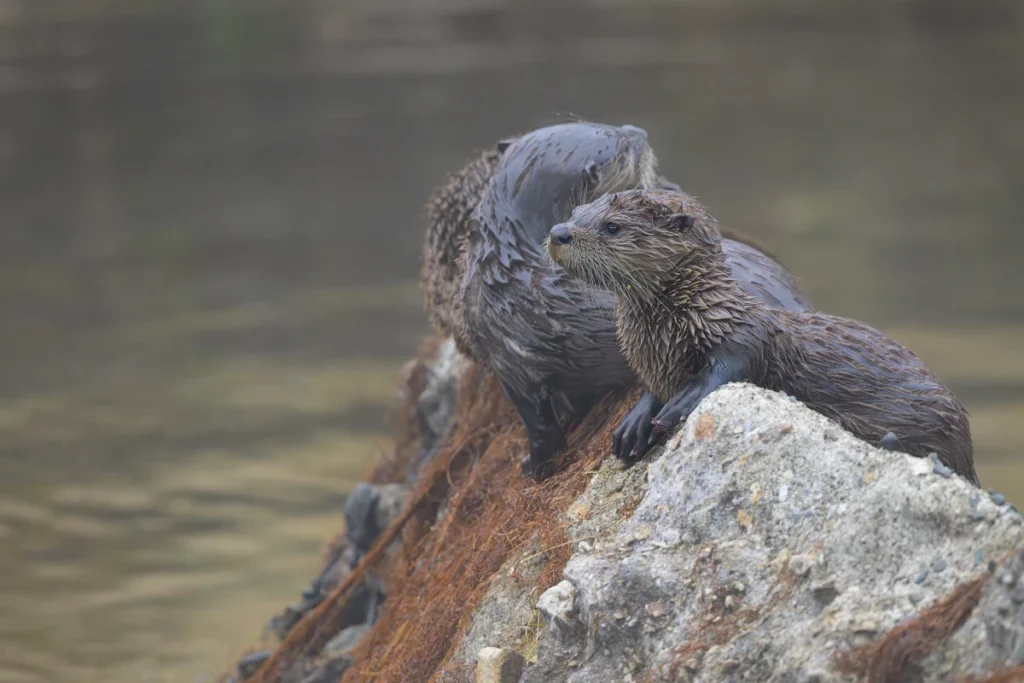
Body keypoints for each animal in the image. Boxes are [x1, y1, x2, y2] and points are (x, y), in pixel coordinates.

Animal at [451, 123, 812, 478]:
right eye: (623, 144)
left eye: (612, 130)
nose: (639, 132)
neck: (504, 265)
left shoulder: (510, 363)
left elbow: (543, 433)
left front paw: (532, 468)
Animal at [547, 189, 978, 484]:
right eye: (576, 213)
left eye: (612, 227)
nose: (558, 232)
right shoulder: (655, 365)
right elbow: (651, 388)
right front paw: (633, 425)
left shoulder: (744, 334)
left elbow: (730, 366)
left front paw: (680, 404)